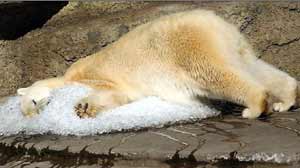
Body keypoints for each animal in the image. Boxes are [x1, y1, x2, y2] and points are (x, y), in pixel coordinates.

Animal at [17, 9, 300, 119]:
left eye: (32, 102)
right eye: (29, 112)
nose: (37, 112)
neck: (67, 77)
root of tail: (214, 21)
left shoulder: (95, 76)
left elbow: (111, 92)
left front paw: (83, 107)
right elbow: (119, 98)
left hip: (187, 48)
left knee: (216, 75)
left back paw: (253, 108)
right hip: (235, 46)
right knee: (255, 67)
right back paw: (284, 101)